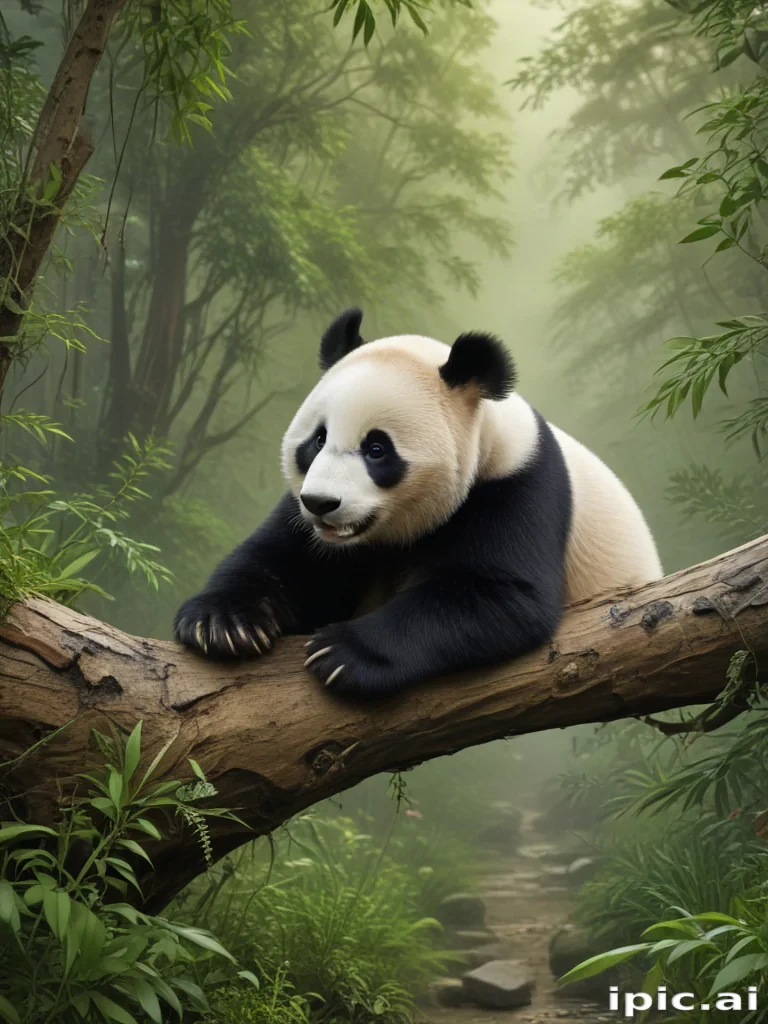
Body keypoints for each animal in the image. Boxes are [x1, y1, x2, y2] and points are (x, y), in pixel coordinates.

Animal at [173, 307, 662, 697]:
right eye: (318, 440)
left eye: (377, 449)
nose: (320, 503)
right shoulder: (311, 528)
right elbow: (279, 558)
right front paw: (221, 624)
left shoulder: (519, 487)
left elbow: (501, 594)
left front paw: (344, 653)